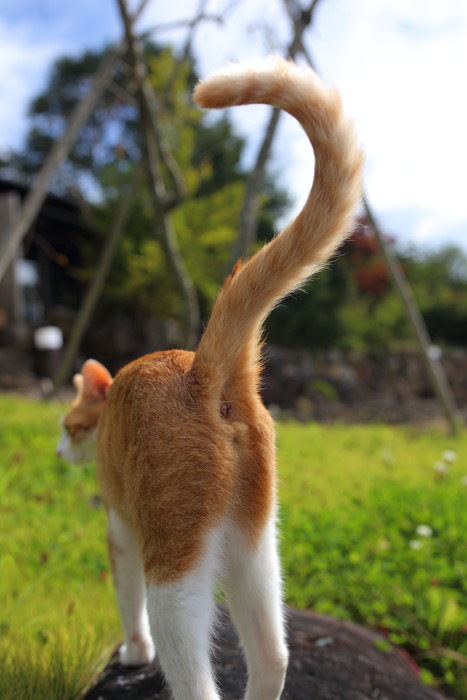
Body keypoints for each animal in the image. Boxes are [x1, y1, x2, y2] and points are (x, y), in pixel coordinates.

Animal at [57, 58, 366, 700]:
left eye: (69, 427)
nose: (58, 450)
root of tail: (203, 371)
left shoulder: (121, 532)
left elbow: (125, 603)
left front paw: (133, 652)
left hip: (174, 569)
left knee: (196, 678)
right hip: (256, 547)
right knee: (273, 654)